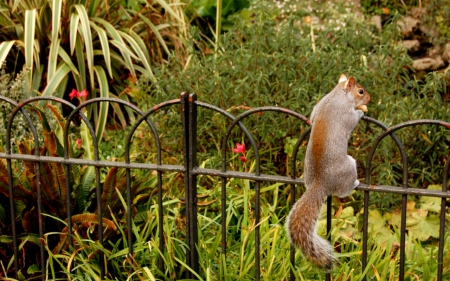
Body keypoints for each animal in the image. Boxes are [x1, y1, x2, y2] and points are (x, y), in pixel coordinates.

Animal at [286, 74, 370, 270]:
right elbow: (353, 119)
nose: (369, 99)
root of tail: (319, 184)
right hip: (350, 168)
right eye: (360, 91)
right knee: (343, 191)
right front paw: (362, 112)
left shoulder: (318, 106)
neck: (336, 96)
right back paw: (355, 183)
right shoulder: (345, 114)